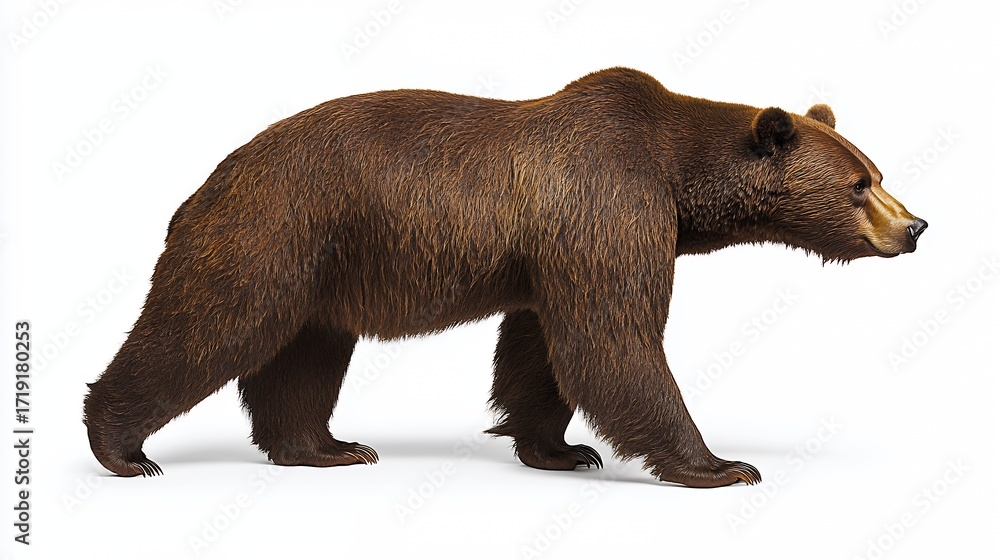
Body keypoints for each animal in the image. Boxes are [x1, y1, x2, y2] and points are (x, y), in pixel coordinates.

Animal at [83, 67, 927, 487]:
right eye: (858, 184)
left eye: (877, 172)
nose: (915, 226)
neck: (677, 175)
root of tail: (210, 179)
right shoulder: (609, 202)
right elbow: (614, 344)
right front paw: (721, 465)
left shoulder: (554, 248)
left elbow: (542, 350)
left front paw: (559, 448)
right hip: (272, 234)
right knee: (205, 328)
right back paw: (123, 448)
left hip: (323, 267)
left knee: (305, 357)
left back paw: (327, 447)